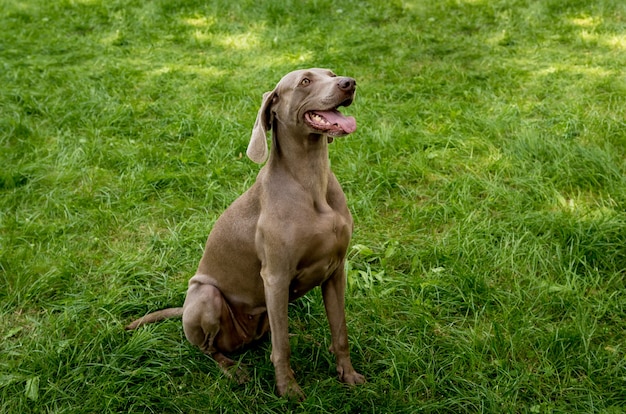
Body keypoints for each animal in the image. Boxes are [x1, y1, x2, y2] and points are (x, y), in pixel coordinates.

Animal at [124, 68, 364, 402]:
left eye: (331, 73)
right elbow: (282, 348)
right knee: (209, 349)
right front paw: (288, 390)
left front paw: (348, 375)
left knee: (271, 334)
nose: (349, 83)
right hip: (206, 295)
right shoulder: (275, 277)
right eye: (305, 81)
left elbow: (340, 331)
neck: (310, 181)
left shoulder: (336, 270)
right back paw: (233, 370)